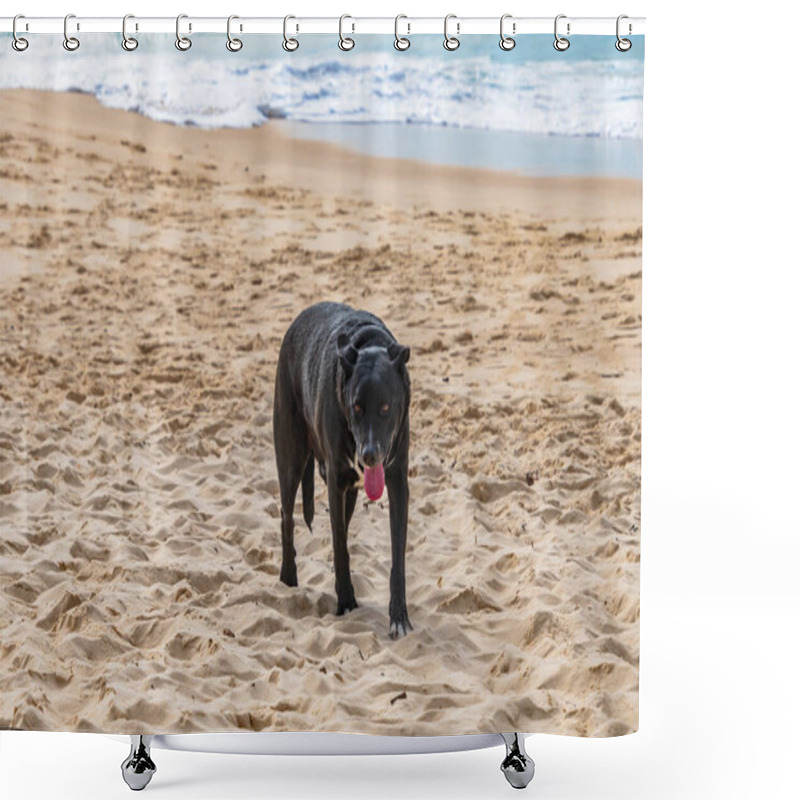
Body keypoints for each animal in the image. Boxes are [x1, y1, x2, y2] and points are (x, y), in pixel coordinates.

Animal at [274, 300, 412, 636]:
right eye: (356, 407)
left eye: (386, 406)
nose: (370, 455)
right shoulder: (335, 482)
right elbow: (339, 548)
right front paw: (346, 602)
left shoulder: (397, 482)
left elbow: (396, 557)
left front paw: (399, 616)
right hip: (290, 457)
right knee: (286, 517)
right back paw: (288, 577)